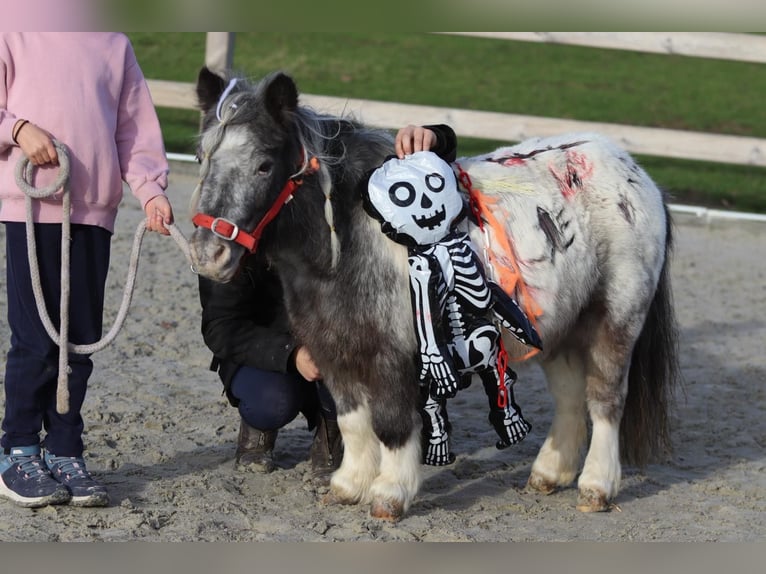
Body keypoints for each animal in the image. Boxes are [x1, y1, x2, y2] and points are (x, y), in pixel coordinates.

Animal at [188, 67, 680, 521]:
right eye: (201, 157)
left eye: (264, 165)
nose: (208, 253)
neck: (347, 243)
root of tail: (635, 172)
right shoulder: (335, 353)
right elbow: (351, 421)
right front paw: (347, 486)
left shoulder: (392, 357)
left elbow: (391, 424)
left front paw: (389, 494)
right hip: (560, 330)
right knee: (570, 397)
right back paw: (548, 474)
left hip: (615, 320)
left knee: (605, 398)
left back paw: (596, 487)